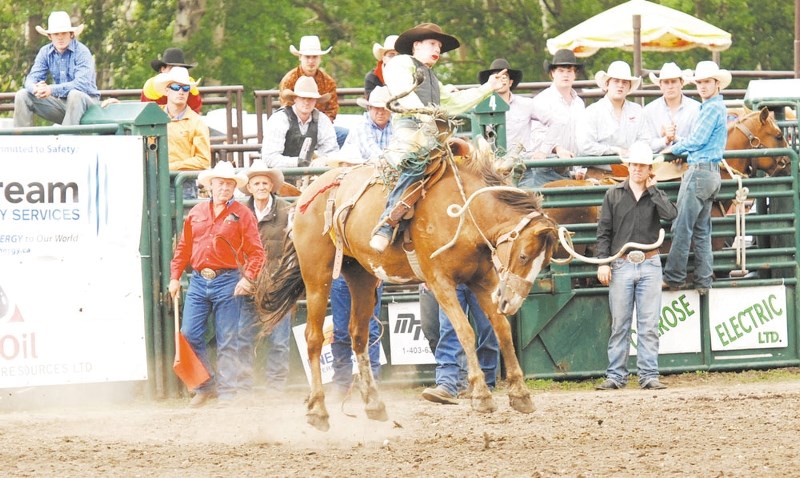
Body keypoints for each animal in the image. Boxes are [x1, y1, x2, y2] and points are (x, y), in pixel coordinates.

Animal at [256, 117, 556, 432]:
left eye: (545, 260)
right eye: (523, 256)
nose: (512, 302)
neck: (464, 213)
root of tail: (309, 191)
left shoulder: (483, 281)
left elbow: (502, 330)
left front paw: (520, 394)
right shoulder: (440, 282)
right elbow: (465, 331)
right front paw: (482, 396)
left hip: (361, 276)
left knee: (358, 335)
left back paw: (373, 403)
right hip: (317, 273)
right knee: (313, 338)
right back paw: (318, 410)